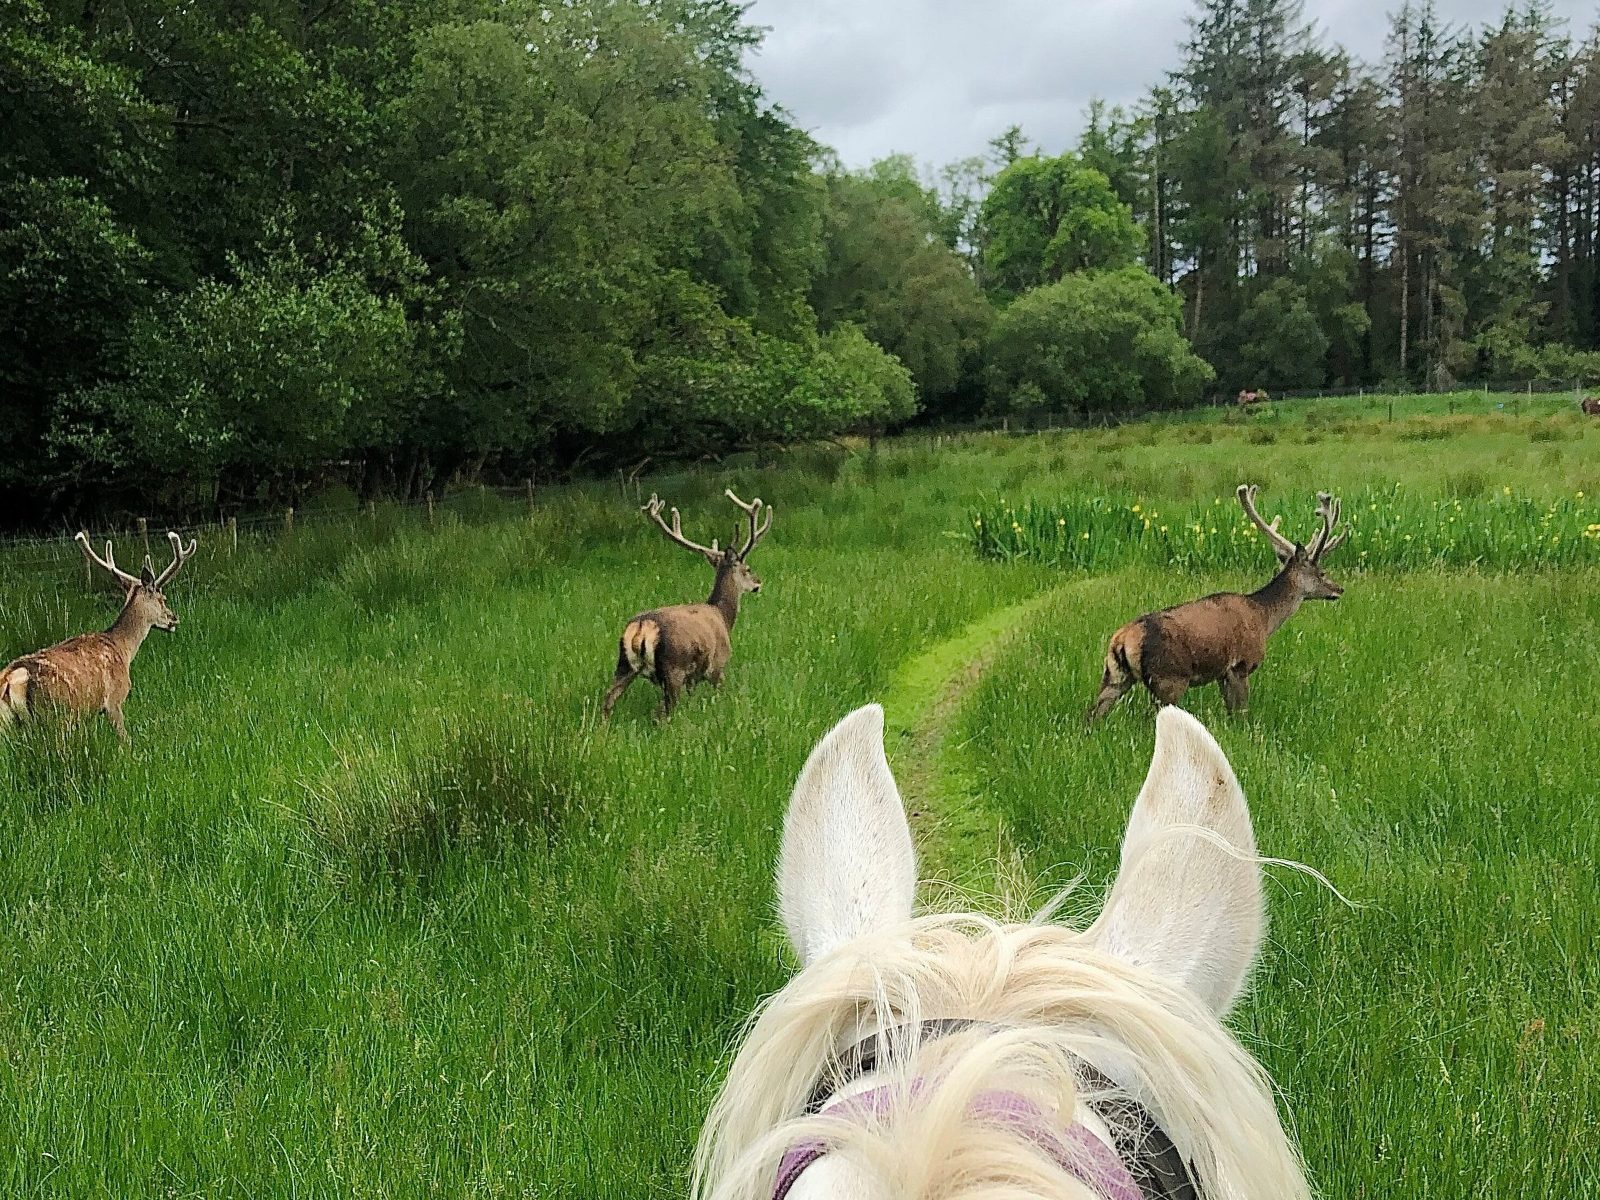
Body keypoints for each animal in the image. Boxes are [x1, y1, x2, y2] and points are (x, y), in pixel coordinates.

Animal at [1, 530, 198, 742]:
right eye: (163, 599)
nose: (174, 619)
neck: (123, 649)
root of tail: (11, 679)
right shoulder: (114, 700)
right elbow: (125, 740)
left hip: (9, 724)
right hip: (55, 714)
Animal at [601, 489, 772, 721]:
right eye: (747, 568)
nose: (758, 583)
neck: (723, 615)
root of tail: (642, 626)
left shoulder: (693, 677)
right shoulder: (718, 665)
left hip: (623, 665)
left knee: (608, 698)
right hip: (673, 667)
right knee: (663, 711)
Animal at [1087, 485, 1346, 722]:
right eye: (1321, 572)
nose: (1339, 589)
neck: (1264, 617)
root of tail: (1123, 640)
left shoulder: (1222, 673)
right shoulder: (1241, 664)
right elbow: (1240, 714)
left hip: (1114, 675)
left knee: (1092, 715)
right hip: (1168, 678)